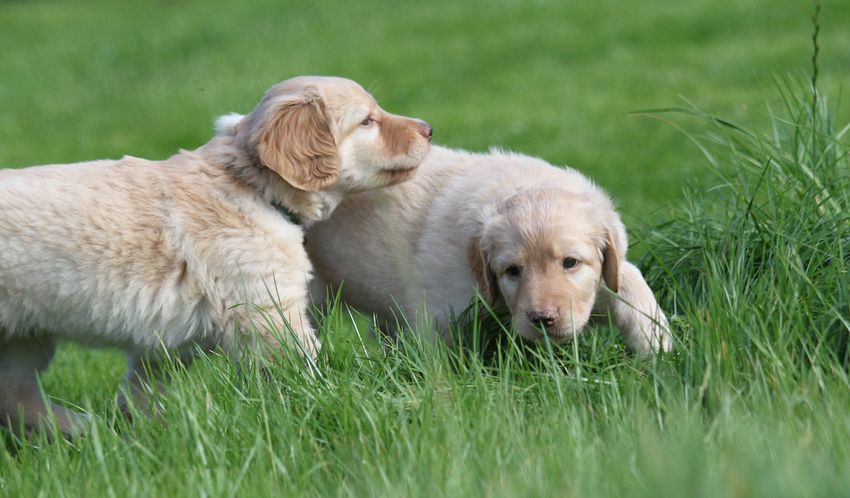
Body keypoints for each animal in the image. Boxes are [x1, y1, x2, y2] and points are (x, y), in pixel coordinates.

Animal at [0, 76, 433, 436]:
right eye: (367, 122)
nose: (429, 129)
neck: (252, 186)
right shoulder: (269, 310)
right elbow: (303, 366)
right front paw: (330, 401)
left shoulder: (164, 338)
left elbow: (146, 384)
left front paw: (148, 426)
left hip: (23, 337)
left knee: (15, 395)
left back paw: (74, 429)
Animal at [306, 146, 671, 353]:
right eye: (512, 271)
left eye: (571, 263)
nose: (542, 319)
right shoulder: (440, 312)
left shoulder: (605, 275)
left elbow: (631, 285)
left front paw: (658, 345)